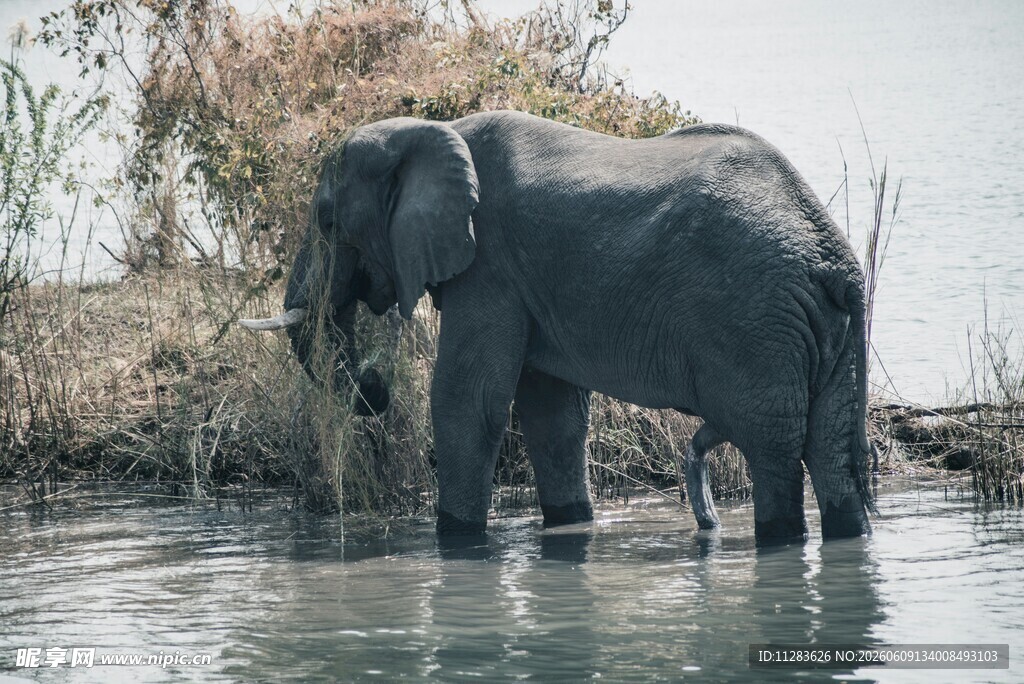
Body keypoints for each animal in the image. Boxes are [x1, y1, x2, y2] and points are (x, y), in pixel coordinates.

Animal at [240, 110, 874, 543]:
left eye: (326, 220)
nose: (375, 389)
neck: (432, 131)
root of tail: (834, 260)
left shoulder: (489, 267)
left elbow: (468, 402)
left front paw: (457, 540)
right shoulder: (525, 282)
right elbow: (553, 415)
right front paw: (570, 525)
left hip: (754, 324)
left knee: (773, 452)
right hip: (822, 331)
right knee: (831, 450)